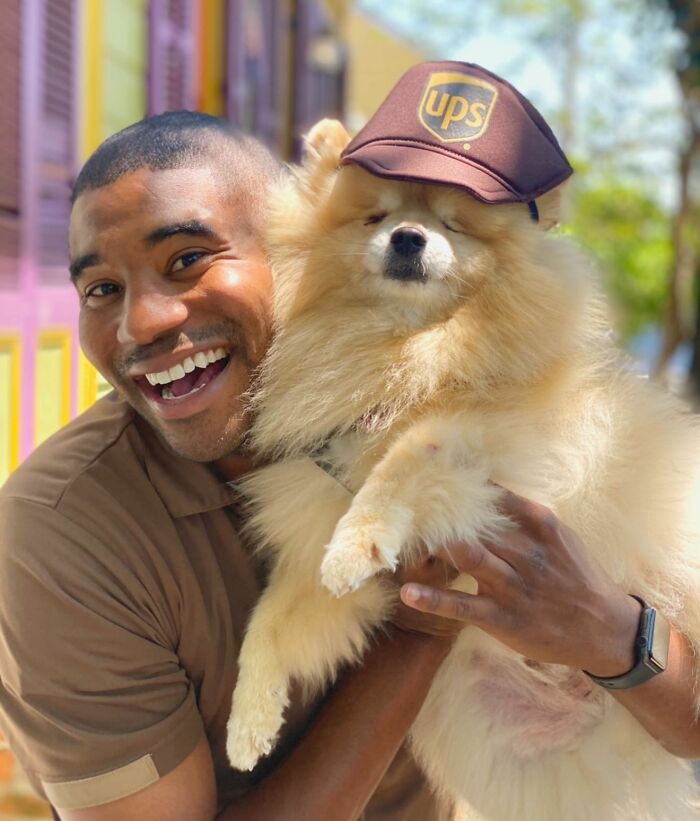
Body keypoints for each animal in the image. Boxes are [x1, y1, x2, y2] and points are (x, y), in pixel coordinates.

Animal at [226, 112, 700, 816]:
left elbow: (405, 459)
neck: (404, 352)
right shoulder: (314, 518)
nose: (408, 237)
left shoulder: (494, 452)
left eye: (454, 225)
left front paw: (355, 545)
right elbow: (268, 620)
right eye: (376, 216)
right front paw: (248, 721)